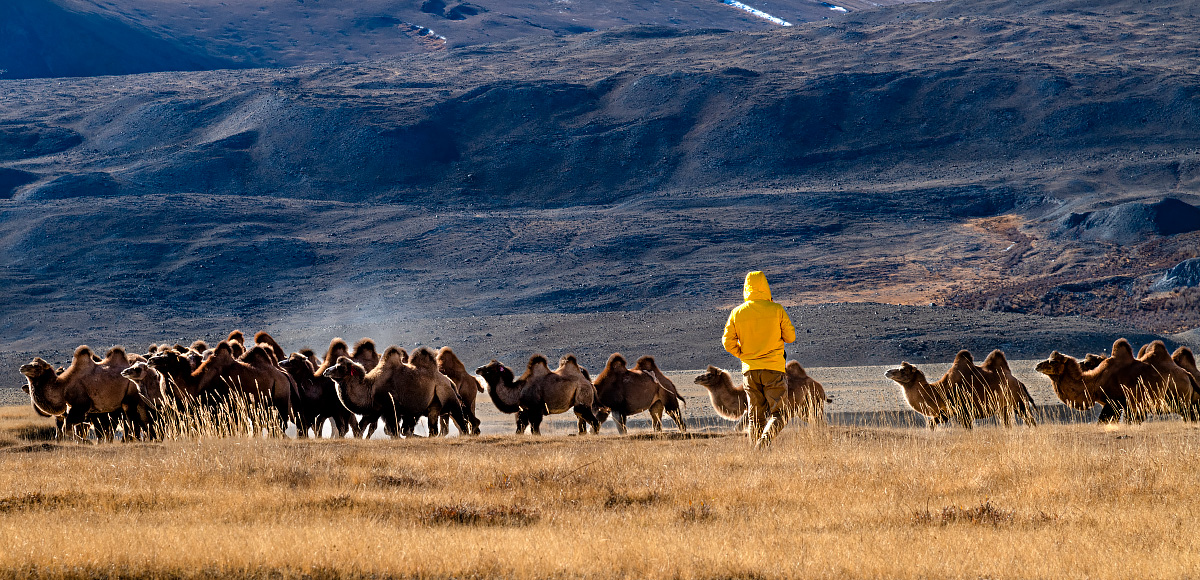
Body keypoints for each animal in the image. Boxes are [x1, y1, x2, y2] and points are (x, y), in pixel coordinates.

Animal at [888, 348, 1036, 429]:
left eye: (903, 370)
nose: (888, 371)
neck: (939, 391)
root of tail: (1019, 383)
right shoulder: (946, 411)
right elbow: (931, 424)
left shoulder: (964, 411)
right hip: (1004, 407)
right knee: (1007, 422)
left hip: (1019, 402)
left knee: (1029, 419)